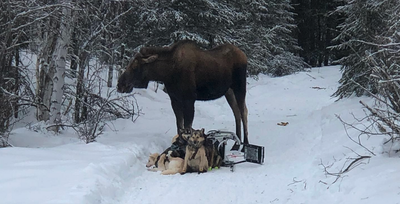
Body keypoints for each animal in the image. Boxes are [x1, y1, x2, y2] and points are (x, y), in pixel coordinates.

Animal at [115, 40, 248, 150]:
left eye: (135, 66)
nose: (120, 84)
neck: (167, 73)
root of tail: (244, 55)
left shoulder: (189, 99)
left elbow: (187, 127)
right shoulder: (175, 99)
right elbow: (179, 125)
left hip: (240, 87)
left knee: (243, 112)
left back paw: (245, 144)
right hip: (229, 91)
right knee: (236, 113)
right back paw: (236, 144)